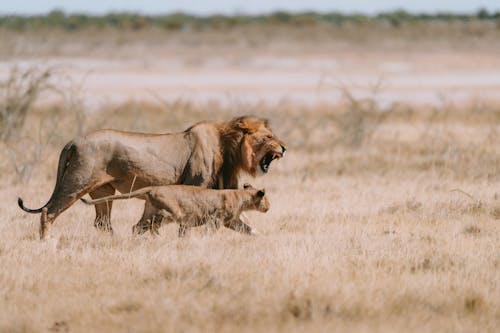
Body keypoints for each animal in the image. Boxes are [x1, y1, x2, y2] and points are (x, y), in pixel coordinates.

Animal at [81, 183, 270, 235]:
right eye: (266, 199)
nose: (269, 207)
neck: (242, 197)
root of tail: (153, 188)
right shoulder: (217, 219)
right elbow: (208, 232)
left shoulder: (232, 221)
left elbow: (247, 229)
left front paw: (259, 236)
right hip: (172, 212)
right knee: (157, 222)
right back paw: (158, 236)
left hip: (148, 211)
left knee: (137, 227)